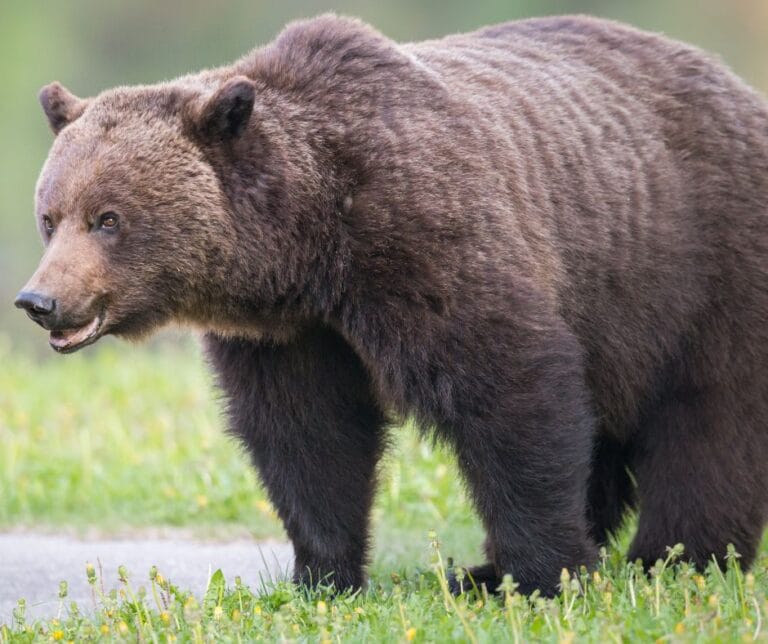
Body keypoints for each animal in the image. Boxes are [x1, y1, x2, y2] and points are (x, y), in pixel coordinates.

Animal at [15, 14, 768, 597]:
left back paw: (674, 559)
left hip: (698, 262)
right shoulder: (291, 334)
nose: (39, 299)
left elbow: (510, 391)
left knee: (709, 419)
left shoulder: (427, 239)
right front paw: (322, 575)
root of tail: (739, 87)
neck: (313, 245)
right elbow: (309, 435)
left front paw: (543, 574)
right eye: (51, 217)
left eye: (108, 219)